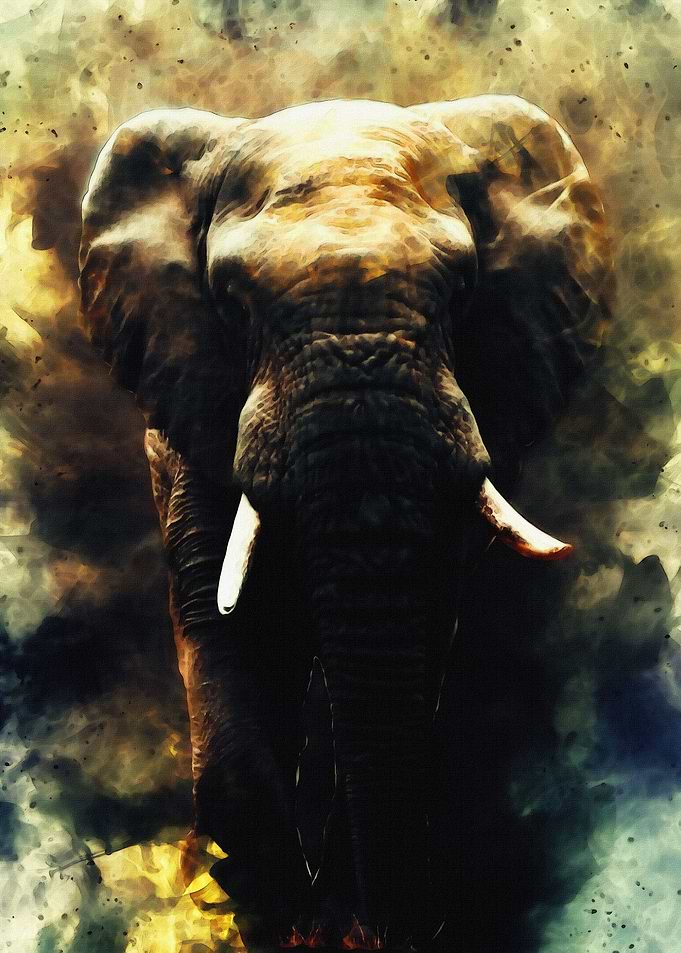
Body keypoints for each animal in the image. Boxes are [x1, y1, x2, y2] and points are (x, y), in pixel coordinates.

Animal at [78, 96, 613, 952]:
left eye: (462, 288)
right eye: (232, 299)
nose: (408, 925)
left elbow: (409, 634)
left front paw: (337, 922)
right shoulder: (194, 397)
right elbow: (226, 619)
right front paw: (274, 906)